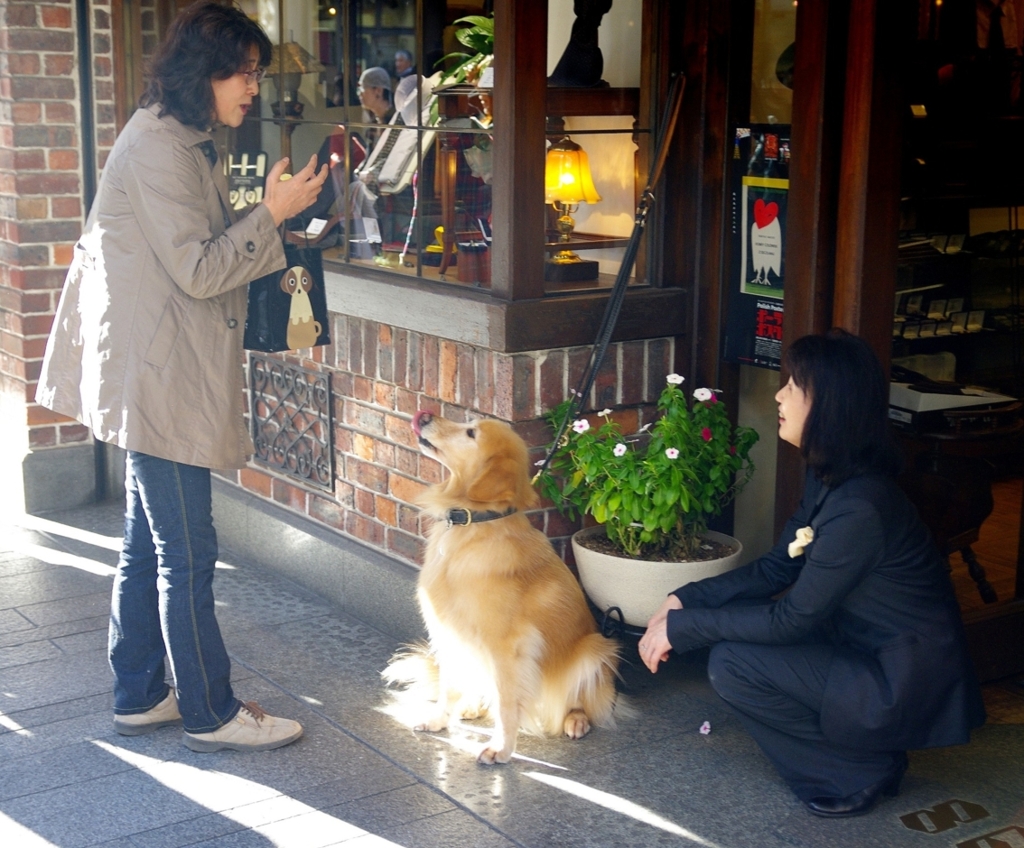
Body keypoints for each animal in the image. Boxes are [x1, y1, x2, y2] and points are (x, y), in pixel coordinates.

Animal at [385, 407, 618, 766]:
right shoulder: (448, 633)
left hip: (595, 651)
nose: (424, 417)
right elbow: (449, 688)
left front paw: (501, 748)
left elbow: (507, 704)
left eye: (471, 434)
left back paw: (575, 720)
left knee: (581, 702)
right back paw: (471, 706)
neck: (471, 524)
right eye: (467, 423)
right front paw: (440, 720)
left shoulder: (507, 647)